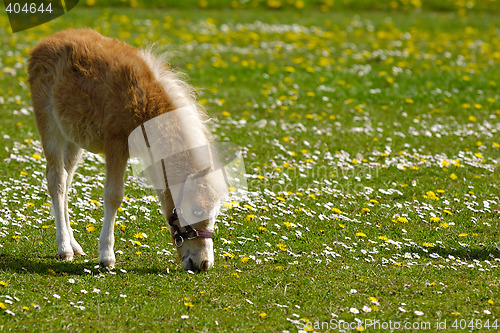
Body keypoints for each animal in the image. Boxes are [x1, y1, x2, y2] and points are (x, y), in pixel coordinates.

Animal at [26, 29, 223, 270]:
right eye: (196, 210)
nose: (204, 263)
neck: (145, 103)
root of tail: (43, 44)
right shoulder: (116, 144)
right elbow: (114, 196)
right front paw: (106, 256)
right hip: (49, 125)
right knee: (56, 180)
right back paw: (64, 248)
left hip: (73, 137)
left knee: (66, 180)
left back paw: (74, 245)